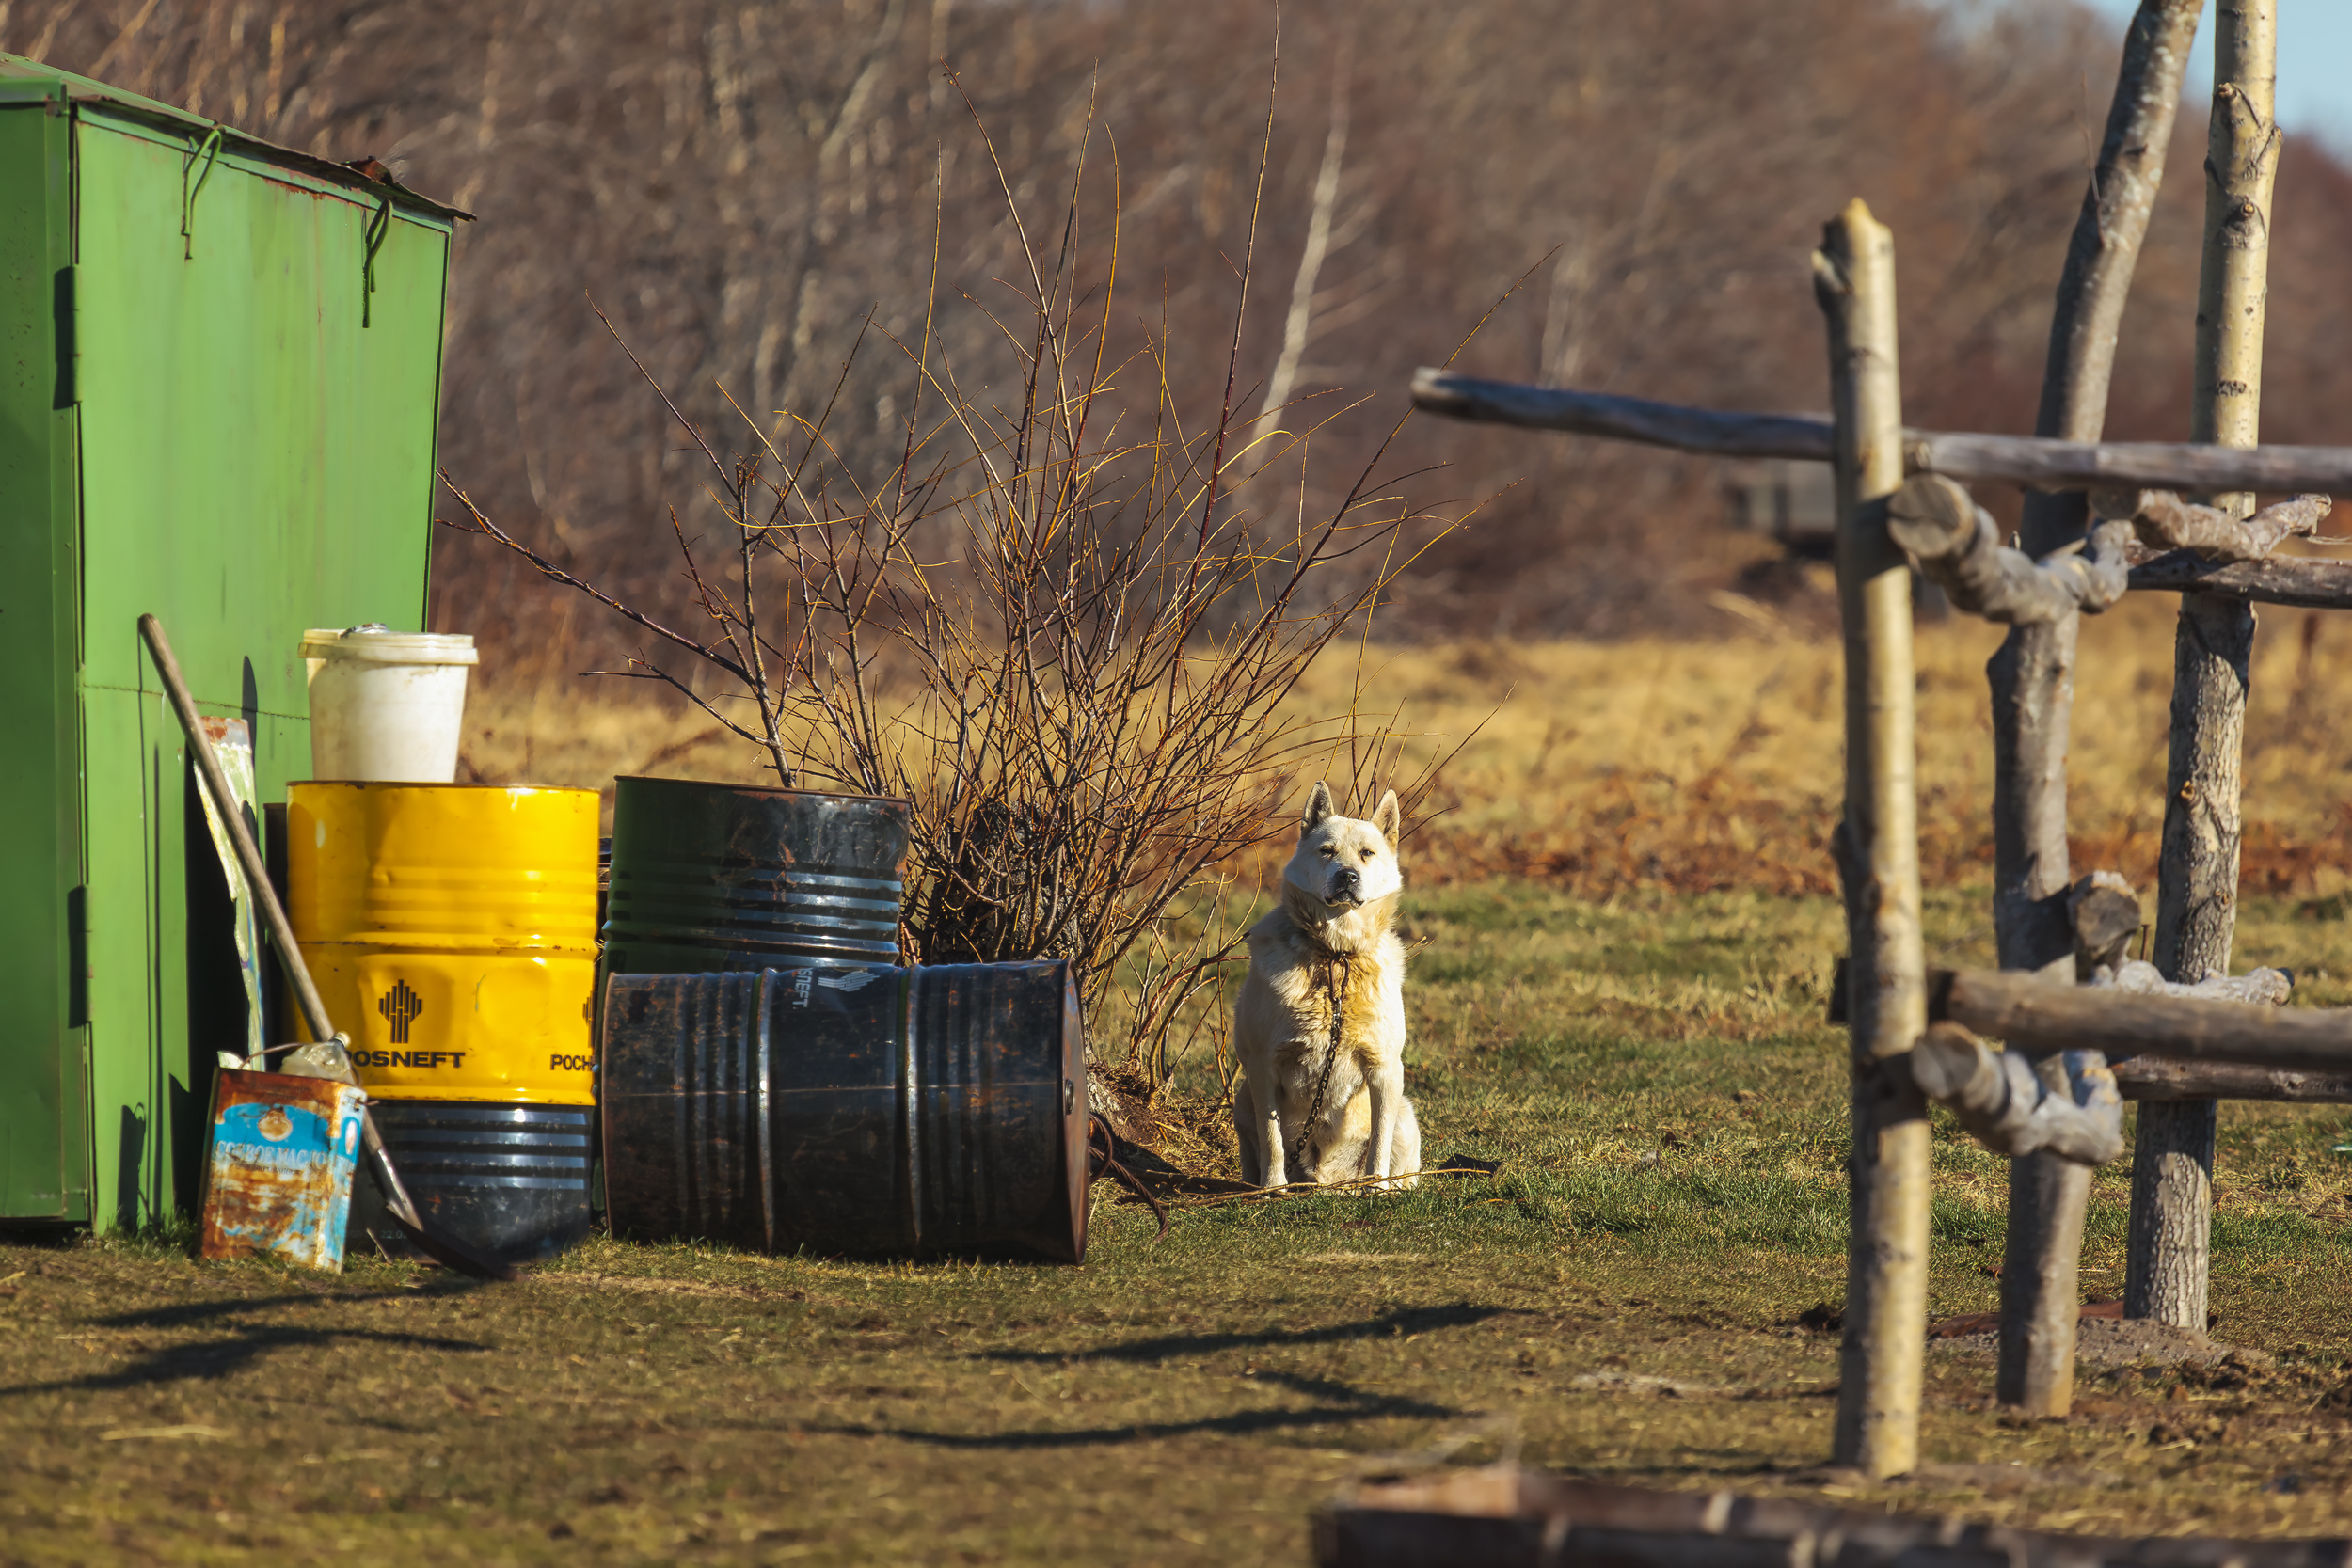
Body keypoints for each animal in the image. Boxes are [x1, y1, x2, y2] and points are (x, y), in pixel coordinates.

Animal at [1232, 784, 1411, 1189]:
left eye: (1366, 853)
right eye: (1326, 850)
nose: (1347, 876)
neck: (1336, 953)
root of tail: (1325, 1178)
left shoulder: (1386, 1068)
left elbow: (1380, 1138)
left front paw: (1376, 1188)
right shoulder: (1262, 1065)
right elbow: (1272, 1139)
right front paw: (1273, 1188)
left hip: (1406, 1113)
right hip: (1241, 1100)